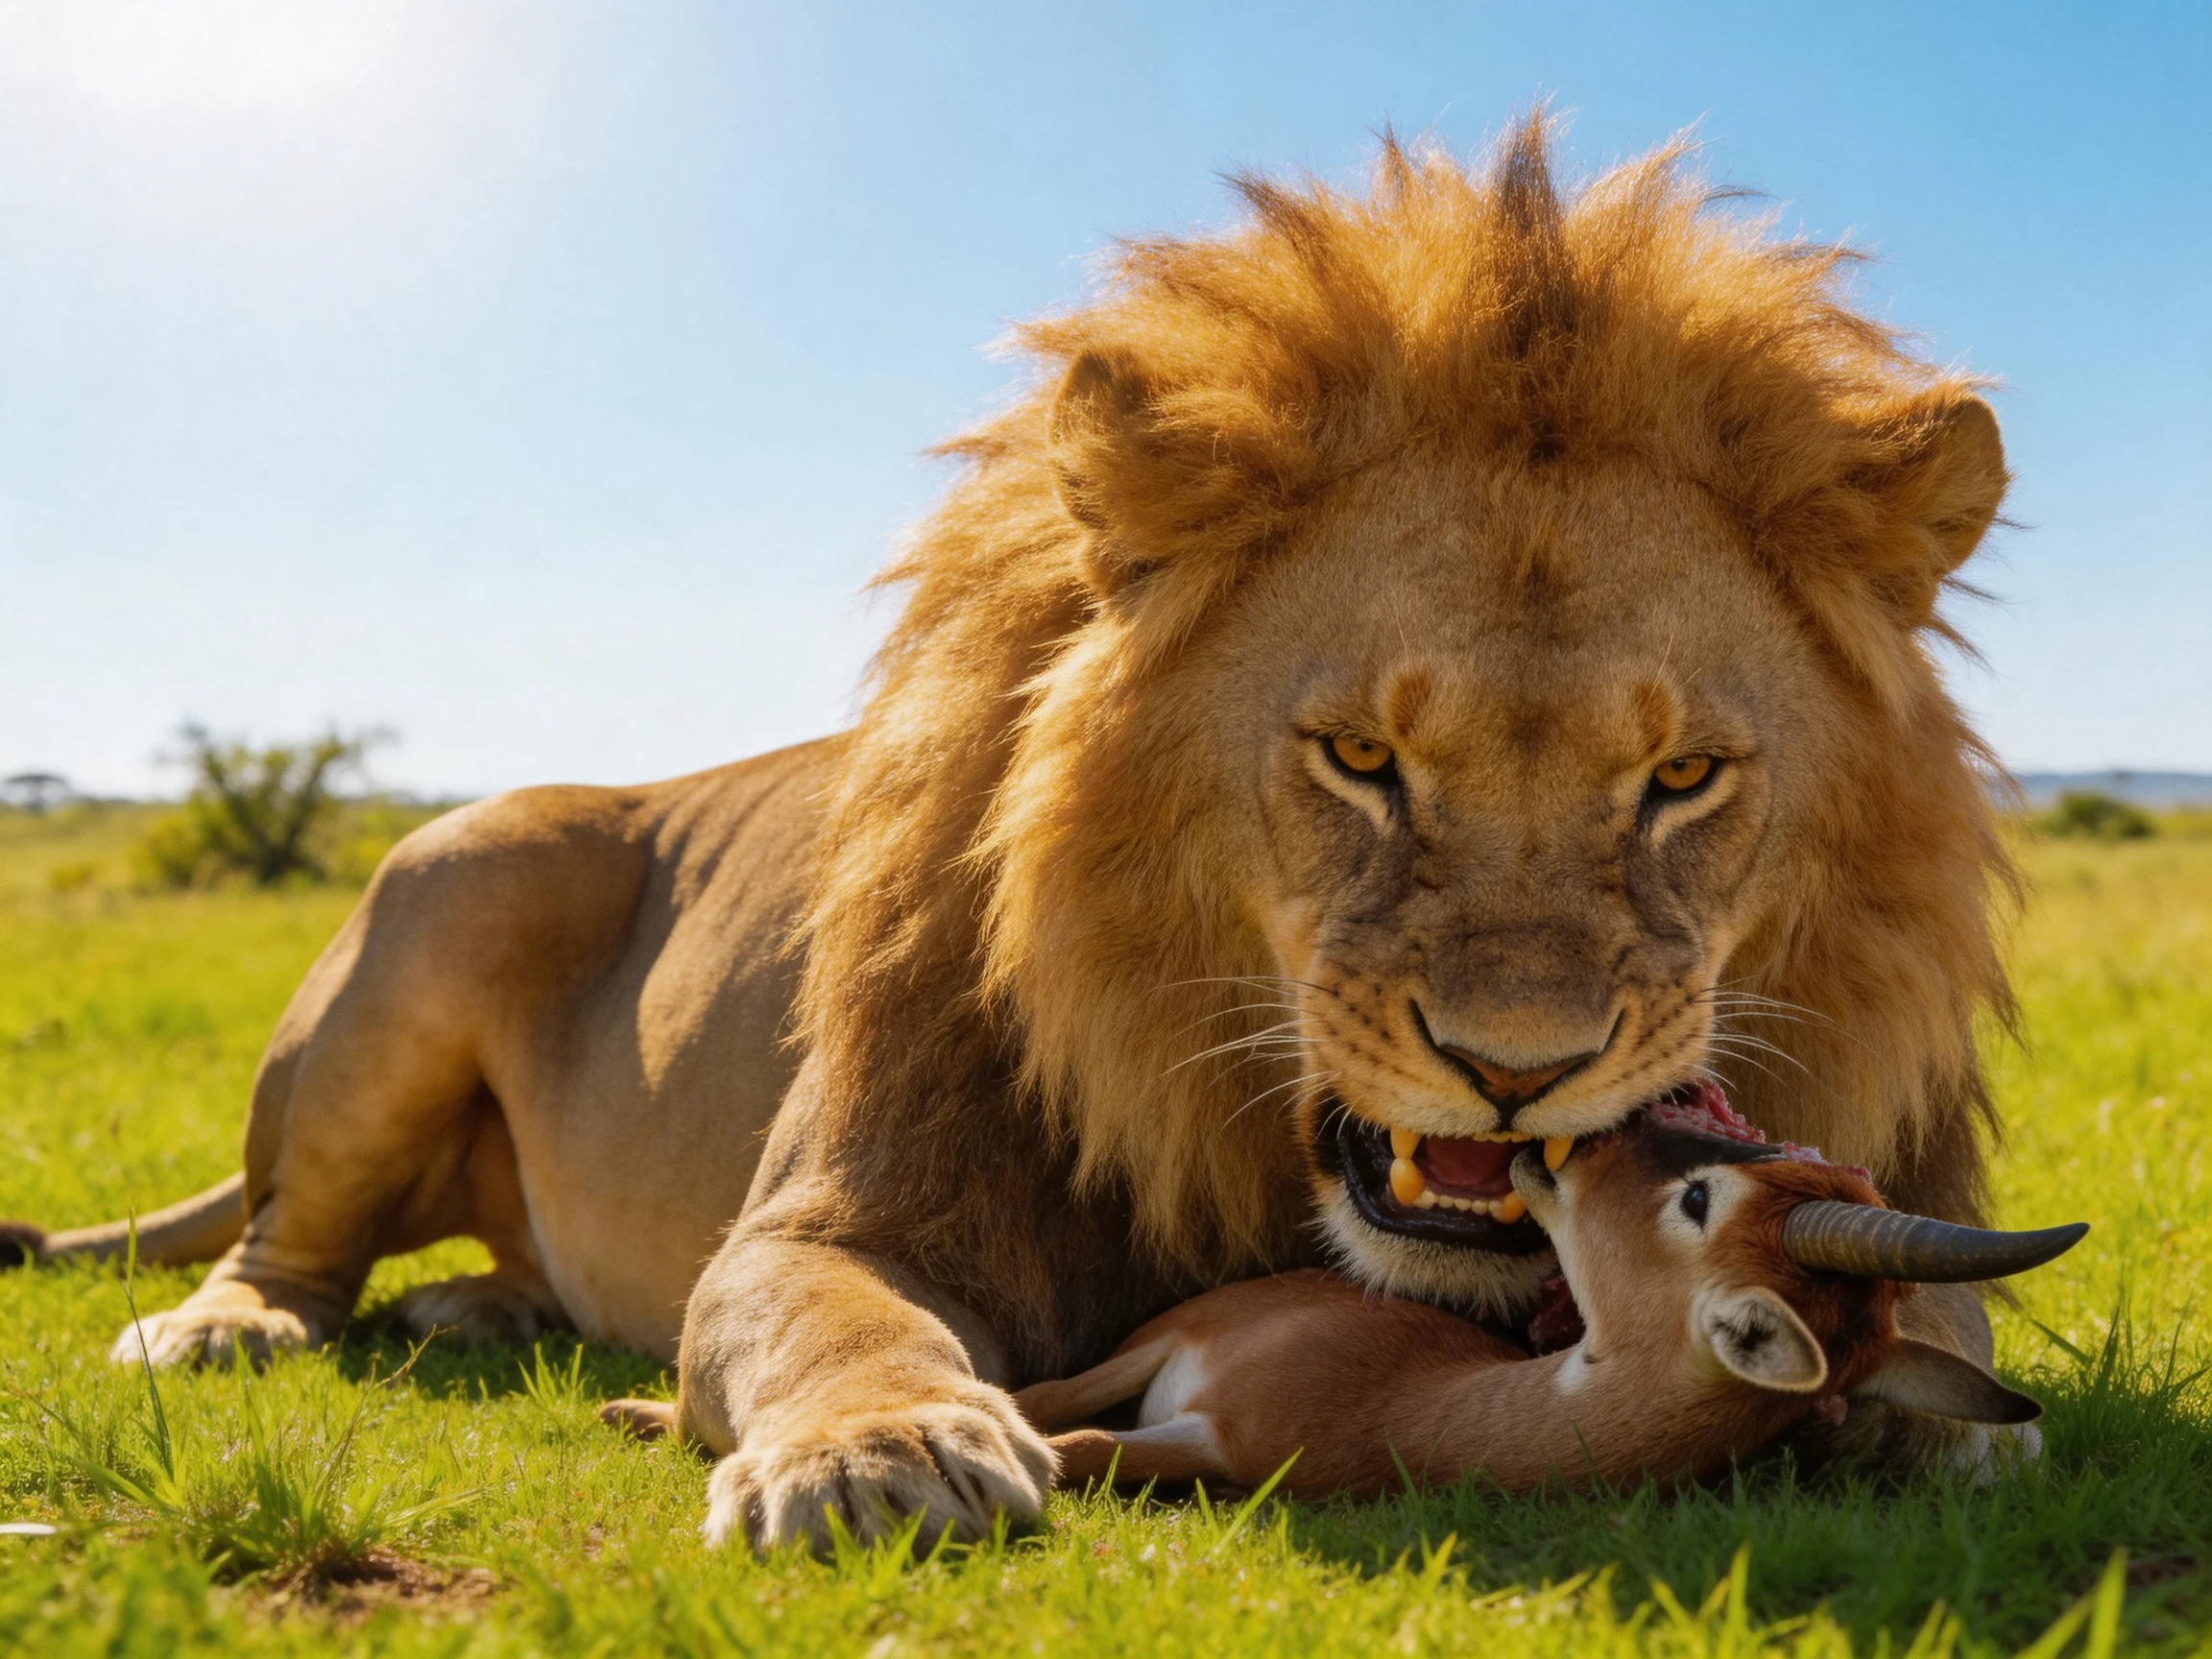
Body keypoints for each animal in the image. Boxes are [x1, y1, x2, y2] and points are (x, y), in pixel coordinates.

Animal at [1014, 1125, 2084, 1497]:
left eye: (1698, 1199)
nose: (1585, 1137)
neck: (1411, 1414)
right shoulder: (1171, 1341)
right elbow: (1043, 1401)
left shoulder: (1215, 1441)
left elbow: (1078, 1449)